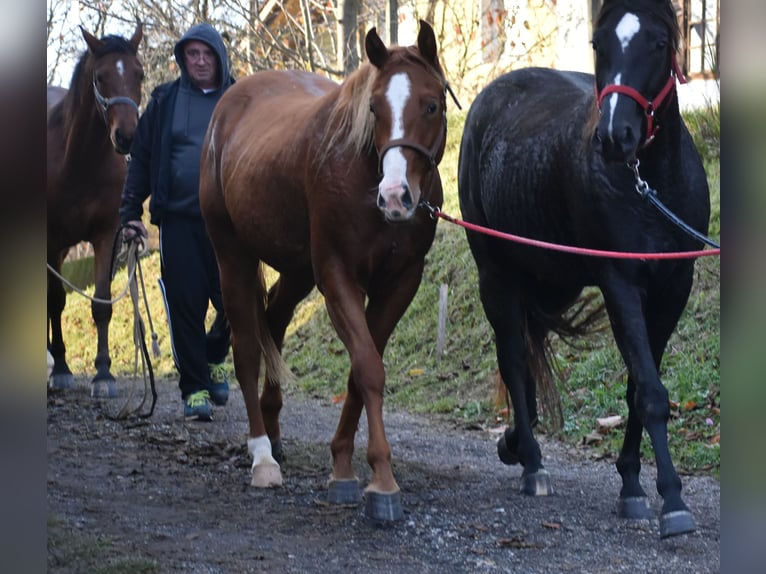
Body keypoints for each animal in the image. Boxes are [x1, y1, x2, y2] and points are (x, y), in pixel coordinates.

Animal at [47, 24, 144, 397]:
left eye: (139, 73)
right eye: (100, 77)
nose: (127, 137)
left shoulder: (105, 236)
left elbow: (101, 302)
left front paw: (103, 373)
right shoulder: (49, 237)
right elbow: (55, 300)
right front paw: (61, 369)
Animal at [200, 20, 448, 521]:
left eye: (431, 104)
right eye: (373, 107)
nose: (395, 197)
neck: (362, 173)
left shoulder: (400, 284)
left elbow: (360, 370)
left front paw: (345, 466)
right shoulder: (337, 277)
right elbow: (368, 368)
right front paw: (380, 480)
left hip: (297, 269)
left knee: (274, 319)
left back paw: (274, 429)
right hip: (232, 255)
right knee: (248, 349)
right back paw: (262, 454)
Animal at [457, 0, 711, 538]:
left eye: (659, 43)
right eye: (600, 43)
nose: (617, 137)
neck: (651, 186)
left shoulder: (673, 288)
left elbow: (639, 387)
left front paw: (633, 483)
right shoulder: (620, 283)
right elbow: (650, 391)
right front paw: (672, 501)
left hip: (554, 282)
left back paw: (517, 444)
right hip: (496, 275)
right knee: (514, 359)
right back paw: (532, 463)